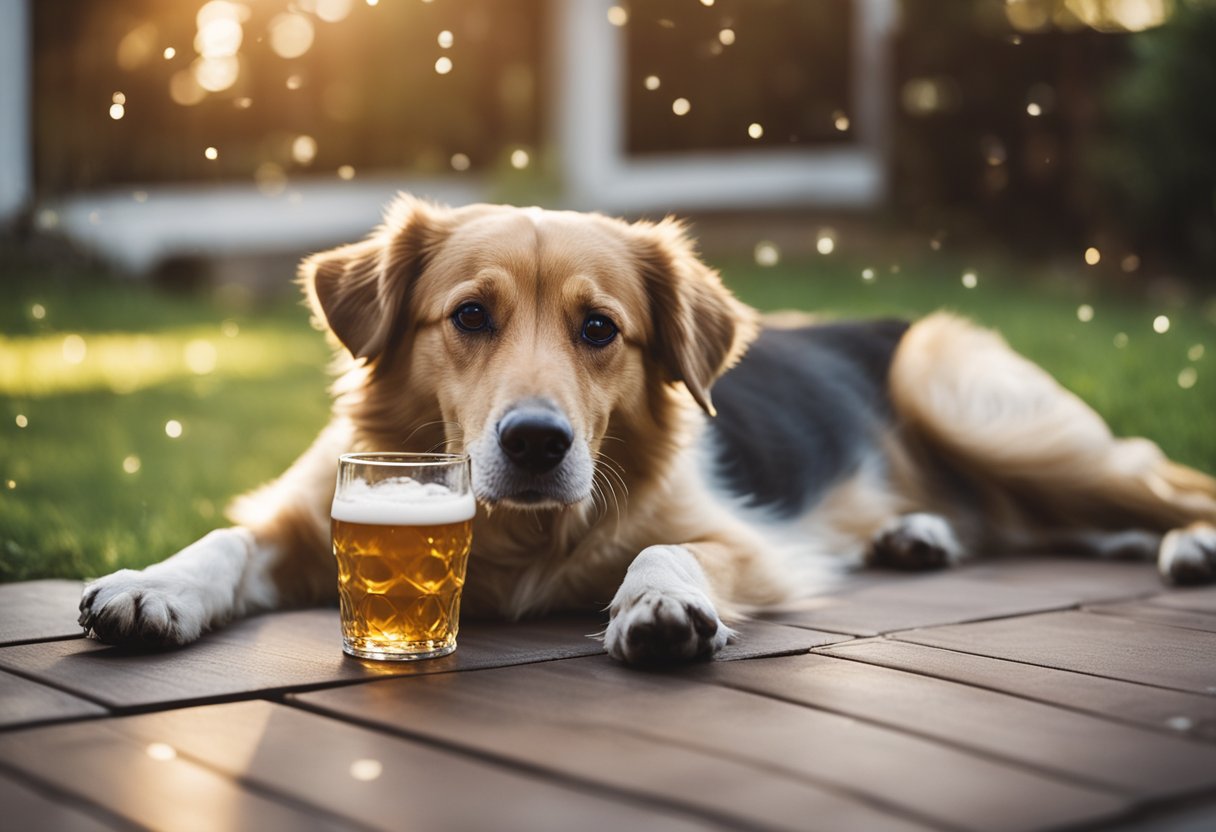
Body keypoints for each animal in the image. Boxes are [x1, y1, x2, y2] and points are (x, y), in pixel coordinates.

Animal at [78, 193, 1216, 661]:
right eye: (470, 317)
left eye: (600, 329)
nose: (536, 443)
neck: (516, 536)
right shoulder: (301, 513)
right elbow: (224, 540)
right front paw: (151, 586)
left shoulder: (749, 544)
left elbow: (667, 548)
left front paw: (660, 605)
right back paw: (918, 532)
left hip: (976, 404)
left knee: (1162, 481)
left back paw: (1192, 542)